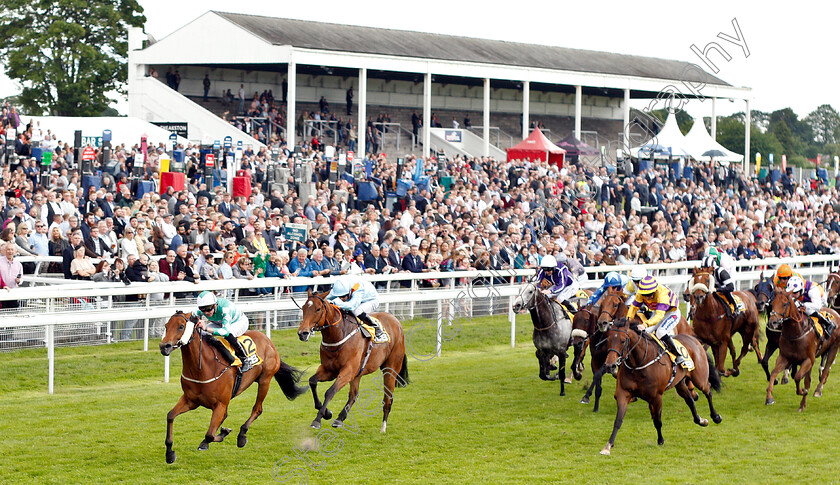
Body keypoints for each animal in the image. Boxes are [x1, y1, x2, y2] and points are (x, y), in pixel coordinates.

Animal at [159, 308, 306, 464]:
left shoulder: (220, 404)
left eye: (181, 326)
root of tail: (267, 340)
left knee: (257, 409)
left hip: (265, 380)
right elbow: (170, 416)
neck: (203, 368)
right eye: (166, 326)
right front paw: (169, 453)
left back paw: (242, 435)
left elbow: (210, 435)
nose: (164, 346)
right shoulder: (191, 400)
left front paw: (223, 433)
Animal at [296, 290, 408, 432]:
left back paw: (383, 428)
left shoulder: (347, 371)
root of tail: (396, 321)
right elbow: (312, 381)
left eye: (318, 309)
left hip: (390, 369)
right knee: (354, 395)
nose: (302, 333)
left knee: (387, 398)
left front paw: (317, 420)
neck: (338, 335)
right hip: (358, 373)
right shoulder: (329, 370)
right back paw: (339, 419)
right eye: (303, 308)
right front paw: (327, 413)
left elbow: (330, 391)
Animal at [596, 322, 720, 454]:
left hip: (699, 378)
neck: (639, 364)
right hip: (680, 383)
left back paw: (716, 417)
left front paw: (660, 440)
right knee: (690, 400)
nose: (610, 365)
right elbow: (618, 420)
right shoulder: (623, 393)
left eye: (623, 341)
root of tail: (694, 339)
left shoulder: (656, 397)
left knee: (708, 390)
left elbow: (657, 421)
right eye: (609, 340)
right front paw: (608, 446)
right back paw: (700, 420)